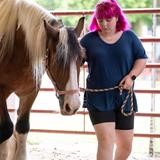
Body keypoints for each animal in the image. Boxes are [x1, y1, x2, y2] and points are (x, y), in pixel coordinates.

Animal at [0, 0, 85, 159]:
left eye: (83, 60)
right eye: (58, 61)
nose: (73, 105)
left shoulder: (30, 93)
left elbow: (22, 128)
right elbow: (6, 130)